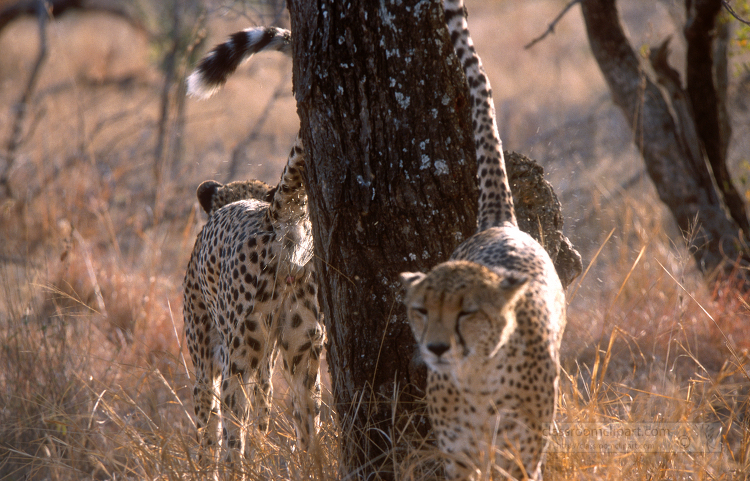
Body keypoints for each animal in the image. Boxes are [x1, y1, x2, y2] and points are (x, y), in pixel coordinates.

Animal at [184, 132, 324, 468]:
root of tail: (272, 217)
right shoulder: (268, 368)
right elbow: (263, 415)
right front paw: (260, 452)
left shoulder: (206, 364)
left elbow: (208, 425)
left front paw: (204, 466)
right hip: (303, 351)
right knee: (309, 424)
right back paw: (313, 467)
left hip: (238, 358)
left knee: (232, 429)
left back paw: (234, 467)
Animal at [402, 1, 568, 478]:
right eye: (421, 310)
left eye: (467, 312)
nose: (437, 348)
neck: (478, 379)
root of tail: (501, 224)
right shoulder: (459, 458)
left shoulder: (521, 456)